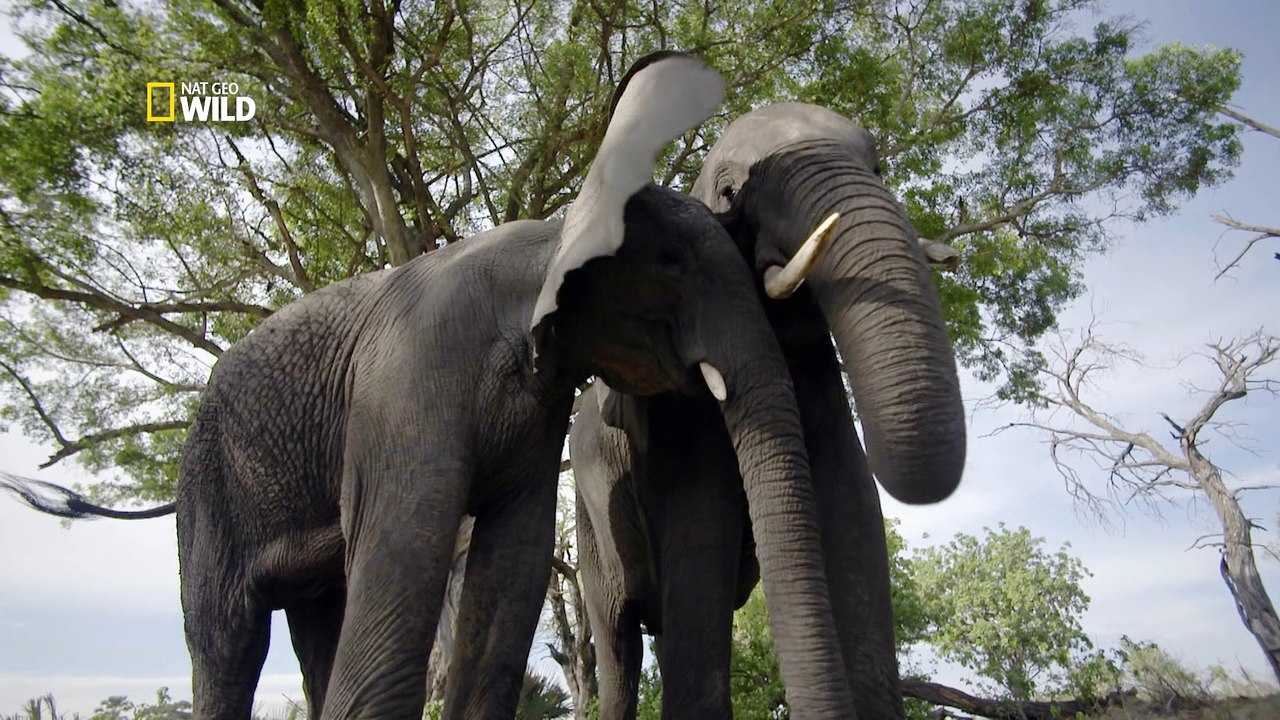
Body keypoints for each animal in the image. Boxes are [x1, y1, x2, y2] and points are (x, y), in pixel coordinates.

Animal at [1, 60, 858, 719]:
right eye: (676, 263)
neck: (551, 229)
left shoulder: (537, 406)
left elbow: (510, 570)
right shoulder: (408, 381)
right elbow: (408, 550)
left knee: (319, 617)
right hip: (208, 479)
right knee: (226, 636)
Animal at [569, 102, 967, 720]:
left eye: (877, 166)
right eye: (731, 192)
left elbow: (853, 506)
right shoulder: (677, 413)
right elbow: (701, 529)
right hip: (588, 523)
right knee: (617, 636)